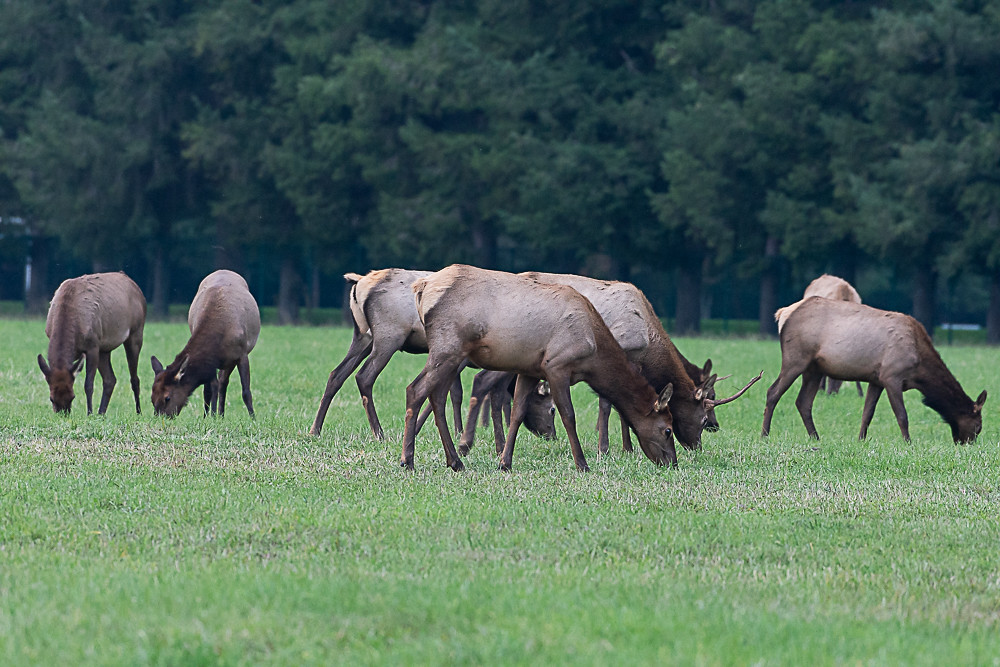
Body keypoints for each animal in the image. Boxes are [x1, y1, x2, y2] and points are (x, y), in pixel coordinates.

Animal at [37, 272, 146, 415]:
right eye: (51, 399)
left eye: (72, 397)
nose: (63, 414)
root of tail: (137, 288)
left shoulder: (92, 346)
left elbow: (88, 384)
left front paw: (89, 413)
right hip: (104, 348)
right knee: (110, 379)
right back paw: (101, 413)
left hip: (136, 333)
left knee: (134, 378)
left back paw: (138, 412)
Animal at [150, 269, 260, 417]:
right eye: (152, 398)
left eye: (167, 397)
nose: (160, 417)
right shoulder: (211, 361)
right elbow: (210, 389)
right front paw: (209, 417)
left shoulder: (242, 354)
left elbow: (246, 392)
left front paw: (253, 418)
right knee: (218, 384)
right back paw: (219, 415)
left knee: (223, 383)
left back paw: (221, 414)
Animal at [309, 269, 555, 441]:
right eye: (552, 409)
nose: (550, 435)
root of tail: (359, 283)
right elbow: (465, 393)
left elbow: (455, 393)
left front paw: (453, 430)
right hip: (388, 335)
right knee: (364, 377)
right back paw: (378, 432)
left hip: (363, 336)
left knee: (336, 374)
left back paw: (315, 429)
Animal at [401, 264, 678, 473]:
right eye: (668, 429)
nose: (672, 463)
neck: (594, 350)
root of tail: (422, 287)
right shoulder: (557, 365)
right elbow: (569, 415)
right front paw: (582, 464)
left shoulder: (530, 371)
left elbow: (517, 412)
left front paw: (504, 462)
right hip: (448, 348)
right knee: (415, 390)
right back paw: (408, 460)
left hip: (452, 353)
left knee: (436, 396)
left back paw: (454, 461)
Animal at [761, 297, 986, 443]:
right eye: (978, 426)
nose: (966, 443)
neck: (920, 371)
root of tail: (783, 313)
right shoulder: (892, 376)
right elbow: (902, 415)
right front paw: (908, 442)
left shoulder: (876, 380)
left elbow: (867, 414)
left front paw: (861, 440)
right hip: (796, 359)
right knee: (772, 392)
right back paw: (764, 435)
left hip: (814, 369)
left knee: (803, 402)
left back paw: (816, 438)